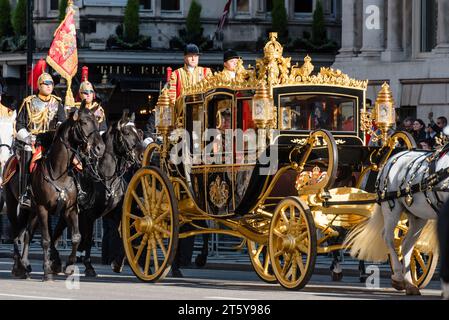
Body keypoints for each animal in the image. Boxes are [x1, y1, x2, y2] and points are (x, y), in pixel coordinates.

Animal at [3, 105, 105, 280]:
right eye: (84, 122)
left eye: (97, 122)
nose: (100, 148)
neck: (59, 172)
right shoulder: (44, 208)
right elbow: (45, 239)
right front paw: (47, 271)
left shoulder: (70, 208)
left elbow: (76, 237)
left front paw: (69, 266)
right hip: (12, 204)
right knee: (15, 233)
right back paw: (18, 267)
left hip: (32, 211)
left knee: (27, 234)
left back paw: (25, 265)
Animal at [50, 111, 143, 276]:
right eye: (126, 133)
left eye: (138, 132)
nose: (141, 155)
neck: (107, 177)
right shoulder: (89, 215)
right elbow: (87, 239)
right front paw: (89, 266)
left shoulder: (116, 213)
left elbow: (124, 235)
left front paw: (118, 262)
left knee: (57, 234)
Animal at [344, 149, 440, 296]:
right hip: (391, 208)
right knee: (388, 238)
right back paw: (399, 278)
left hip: (417, 215)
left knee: (406, 245)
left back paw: (409, 283)